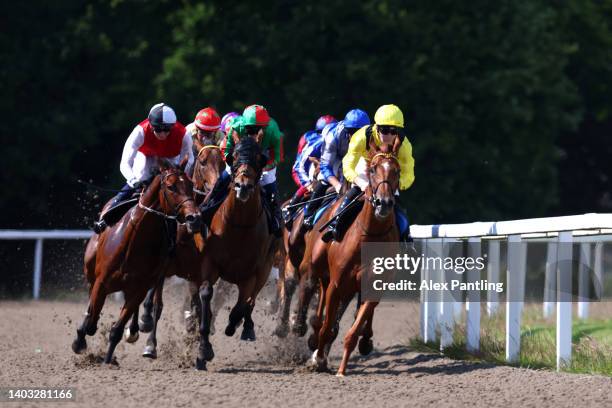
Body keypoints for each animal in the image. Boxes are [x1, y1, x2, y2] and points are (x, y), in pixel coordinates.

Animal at [71, 159, 200, 364]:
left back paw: (136, 329)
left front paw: (108, 360)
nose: (194, 217)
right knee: (91, 310)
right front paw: (79, 341)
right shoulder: (101, 283)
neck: (135, 240)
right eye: (171, 186)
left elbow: (116, 329)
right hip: (91, 273)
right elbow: (91, 320)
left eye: (190, 185)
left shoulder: (139, 288)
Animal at [194, 137, 278, 370]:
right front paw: (203, 350)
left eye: (260, 158)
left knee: (251, 300)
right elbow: (206, 294)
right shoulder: (209, 263)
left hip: (266, 268)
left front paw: (234, 325)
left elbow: (242, 305)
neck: (238, 226)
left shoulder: (252, 272)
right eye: (233, 156)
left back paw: (246, 327)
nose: (243, 186)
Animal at [306, 138, 402, 376]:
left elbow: (354, 329)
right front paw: (318, 359)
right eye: (373, 169)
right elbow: (326, 326)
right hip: (318, 268)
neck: (368, 236)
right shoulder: (336, 284)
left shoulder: (373, 287)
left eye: (397, 170)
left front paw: (341, 369)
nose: (384, 203)